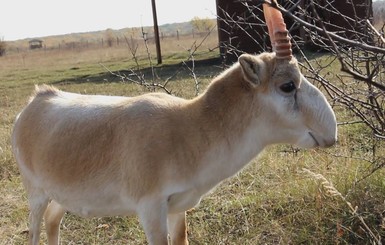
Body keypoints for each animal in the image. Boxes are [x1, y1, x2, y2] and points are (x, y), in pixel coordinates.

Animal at [11, 2, 336, 245]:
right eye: (287, 86)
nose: (330, 133)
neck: (190, 124)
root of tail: (38, 98)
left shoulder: (179, 208)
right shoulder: (151, 209)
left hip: (60, 197)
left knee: (53, 221)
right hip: (36, 194)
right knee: (36, 229)